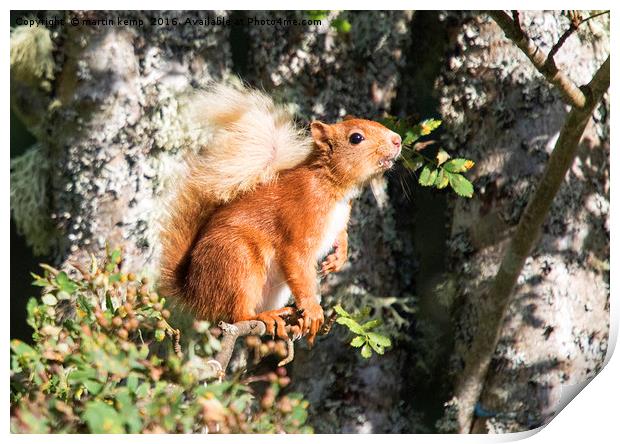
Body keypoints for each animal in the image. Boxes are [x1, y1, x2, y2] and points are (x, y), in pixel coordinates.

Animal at [160, 85, 402, 346]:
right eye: (356, 138)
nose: (398, 140)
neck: (332, 187)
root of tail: (193, 289)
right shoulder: (299, 224)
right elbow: (297, 262)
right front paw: (313, 309)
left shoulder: (340, 219)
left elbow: (341, 234)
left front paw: (339, 258)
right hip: (238, 262)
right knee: (238, 313)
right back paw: (263, 317)